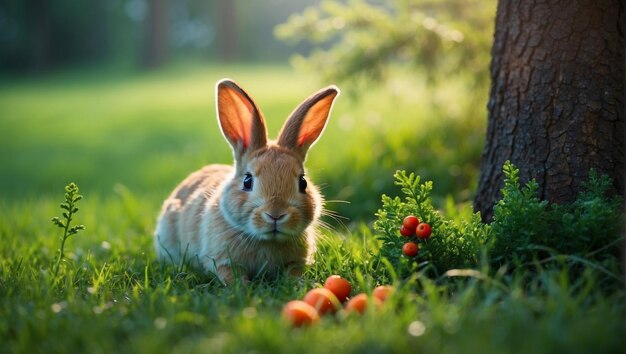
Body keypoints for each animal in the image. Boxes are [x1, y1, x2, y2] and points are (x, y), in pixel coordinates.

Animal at [154, 79, 338, 284]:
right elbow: (232, 277)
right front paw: (243, 287)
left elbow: (293, 273)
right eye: (247, 181)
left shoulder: (295, 263)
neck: (267, 240)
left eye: (303, 182)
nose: (276, 215)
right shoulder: (223, 261)